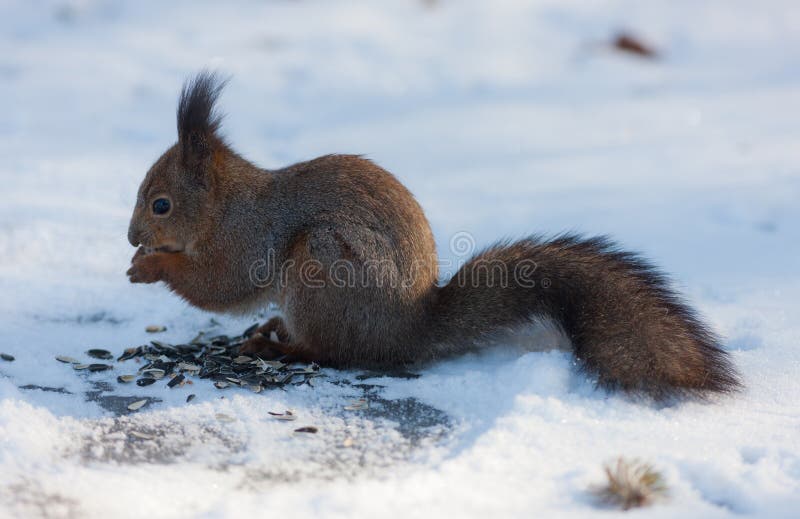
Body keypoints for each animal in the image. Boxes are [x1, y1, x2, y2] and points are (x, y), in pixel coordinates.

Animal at [126, 71, 740, 400]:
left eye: (161, 204)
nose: (132, 237)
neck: (225, 204)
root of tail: (409, 330)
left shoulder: (249, 237)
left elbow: (221, 285)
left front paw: (151, 266)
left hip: (323, 267)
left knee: (333, 353)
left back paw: (277, 347)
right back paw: (274, 329)